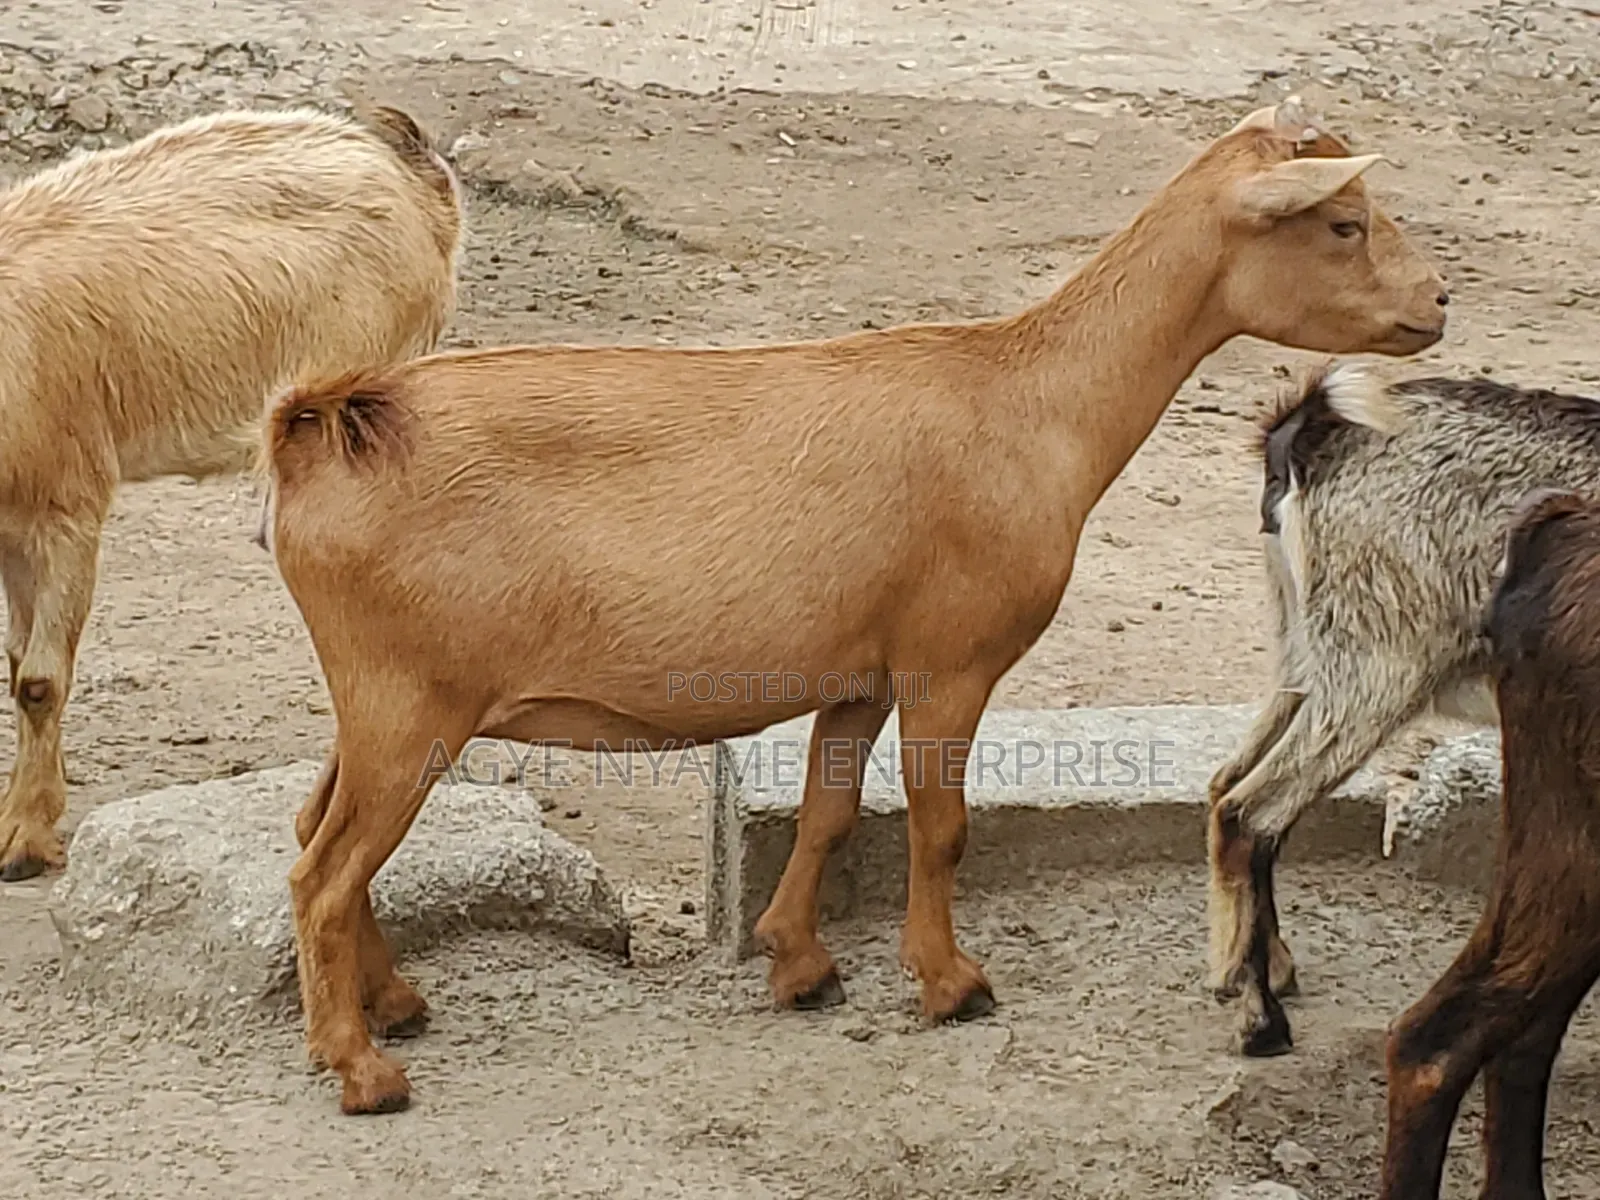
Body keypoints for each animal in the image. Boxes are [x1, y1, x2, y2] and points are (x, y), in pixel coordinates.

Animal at [260, 96, 1447, 1115]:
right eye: (1343, 221)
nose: (1437, 303)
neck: (1031, 402)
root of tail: (318, 429)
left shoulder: (859, 671)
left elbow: (830, 807)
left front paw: (801, 964)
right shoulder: (949, 658)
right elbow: (938, 822)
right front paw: (952, 983)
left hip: (382, 700)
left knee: (316, 830)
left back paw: (397, 1004)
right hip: (409, 700)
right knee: (324, 872)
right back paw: (360, 1069)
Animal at [1206, 363, 1600, 1057]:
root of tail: (1314, 428)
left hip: (1304, 651)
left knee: (1229, 781)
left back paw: (1268, 968)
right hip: (1380, 665)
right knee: (1250, 812)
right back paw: (1261, 1023)